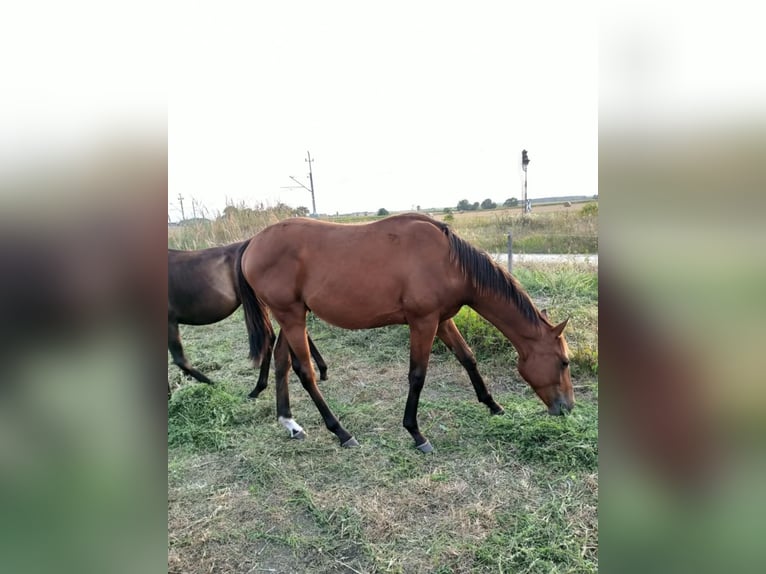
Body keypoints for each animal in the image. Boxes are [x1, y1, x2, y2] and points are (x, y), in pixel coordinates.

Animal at [168, 241, 328, 398]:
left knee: (270, 337)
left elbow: (180, 360)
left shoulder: (170, 321)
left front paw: (216, 386)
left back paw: (258, 388)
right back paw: (322, 370)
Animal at [240, 214, 576, 452]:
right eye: (564, 362)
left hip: (291, 316)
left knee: (282, 362)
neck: (450, 261)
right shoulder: (423, 322)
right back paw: (341, 432)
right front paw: (416, 433)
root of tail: (252, 242)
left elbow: (468, 358)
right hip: (292, 317)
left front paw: (492, 405)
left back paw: (290, 423)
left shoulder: (442, 320)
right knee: (305, 372)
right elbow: (417, 375)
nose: (567, 408)